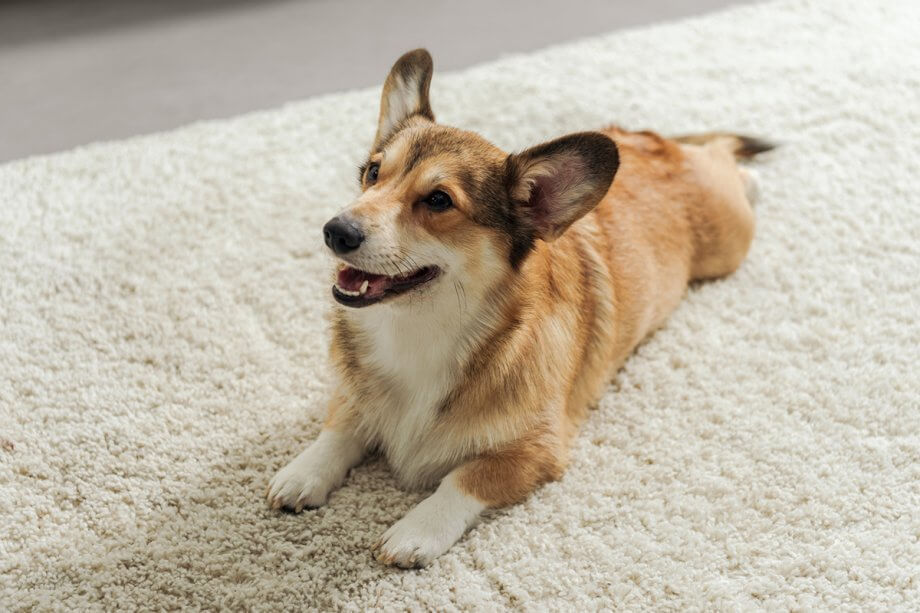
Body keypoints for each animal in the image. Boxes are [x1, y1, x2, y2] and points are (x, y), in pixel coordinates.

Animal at [268, 49, 776, 568]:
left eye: (438, 200)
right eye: (372, 173)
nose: (335, 231)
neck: (419, 331)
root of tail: (656, 142)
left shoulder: (537, 450)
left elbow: (464, 478)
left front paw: (415, 531)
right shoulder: (353, 397)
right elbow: (340, 429)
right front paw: (304, 472)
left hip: (729, 242)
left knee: (726, 160)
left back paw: (752, 177)